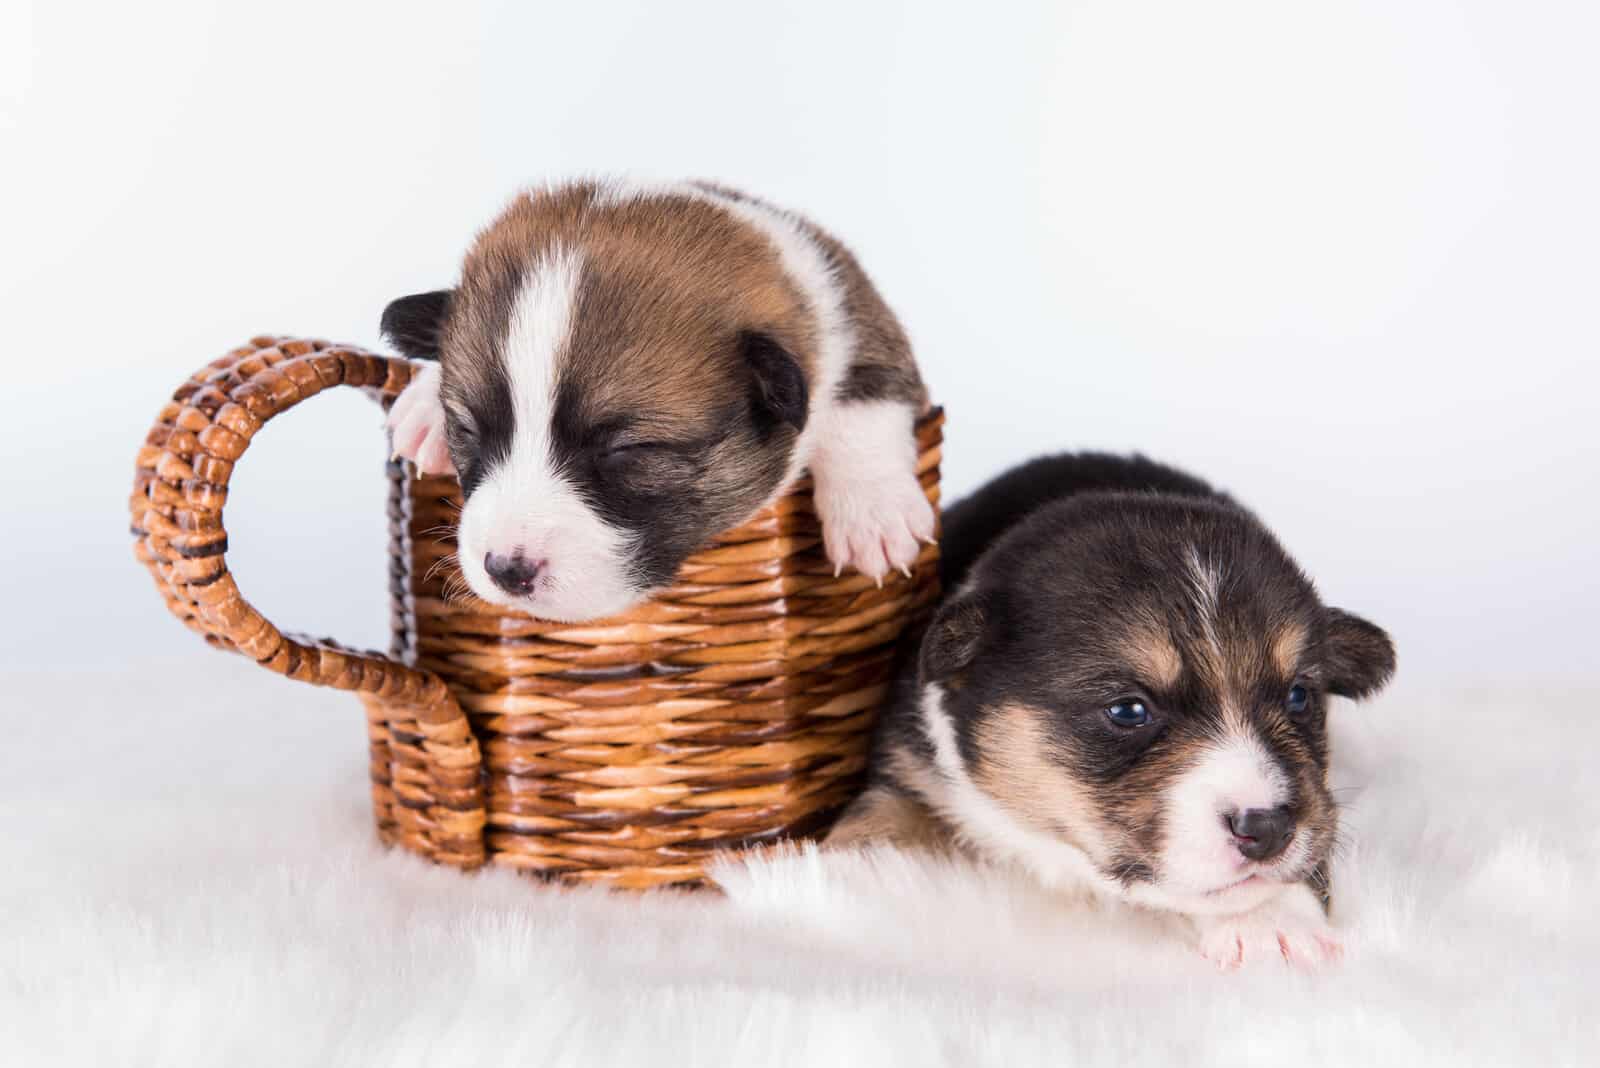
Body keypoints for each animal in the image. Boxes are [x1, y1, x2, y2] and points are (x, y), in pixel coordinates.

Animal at [382, 179, 934, 620]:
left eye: (628, 451)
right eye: (467, 430)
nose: (505, 570)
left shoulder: (856, 313)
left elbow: (866, 390)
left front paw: (874, 511)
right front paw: (423, 407)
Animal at [832, 454, 1395, 972]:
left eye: (1299, 697)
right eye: (1127, 710)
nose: (1270, 828)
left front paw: (1270, 927)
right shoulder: (907, 762)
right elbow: (879, 815)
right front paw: (850, 869)